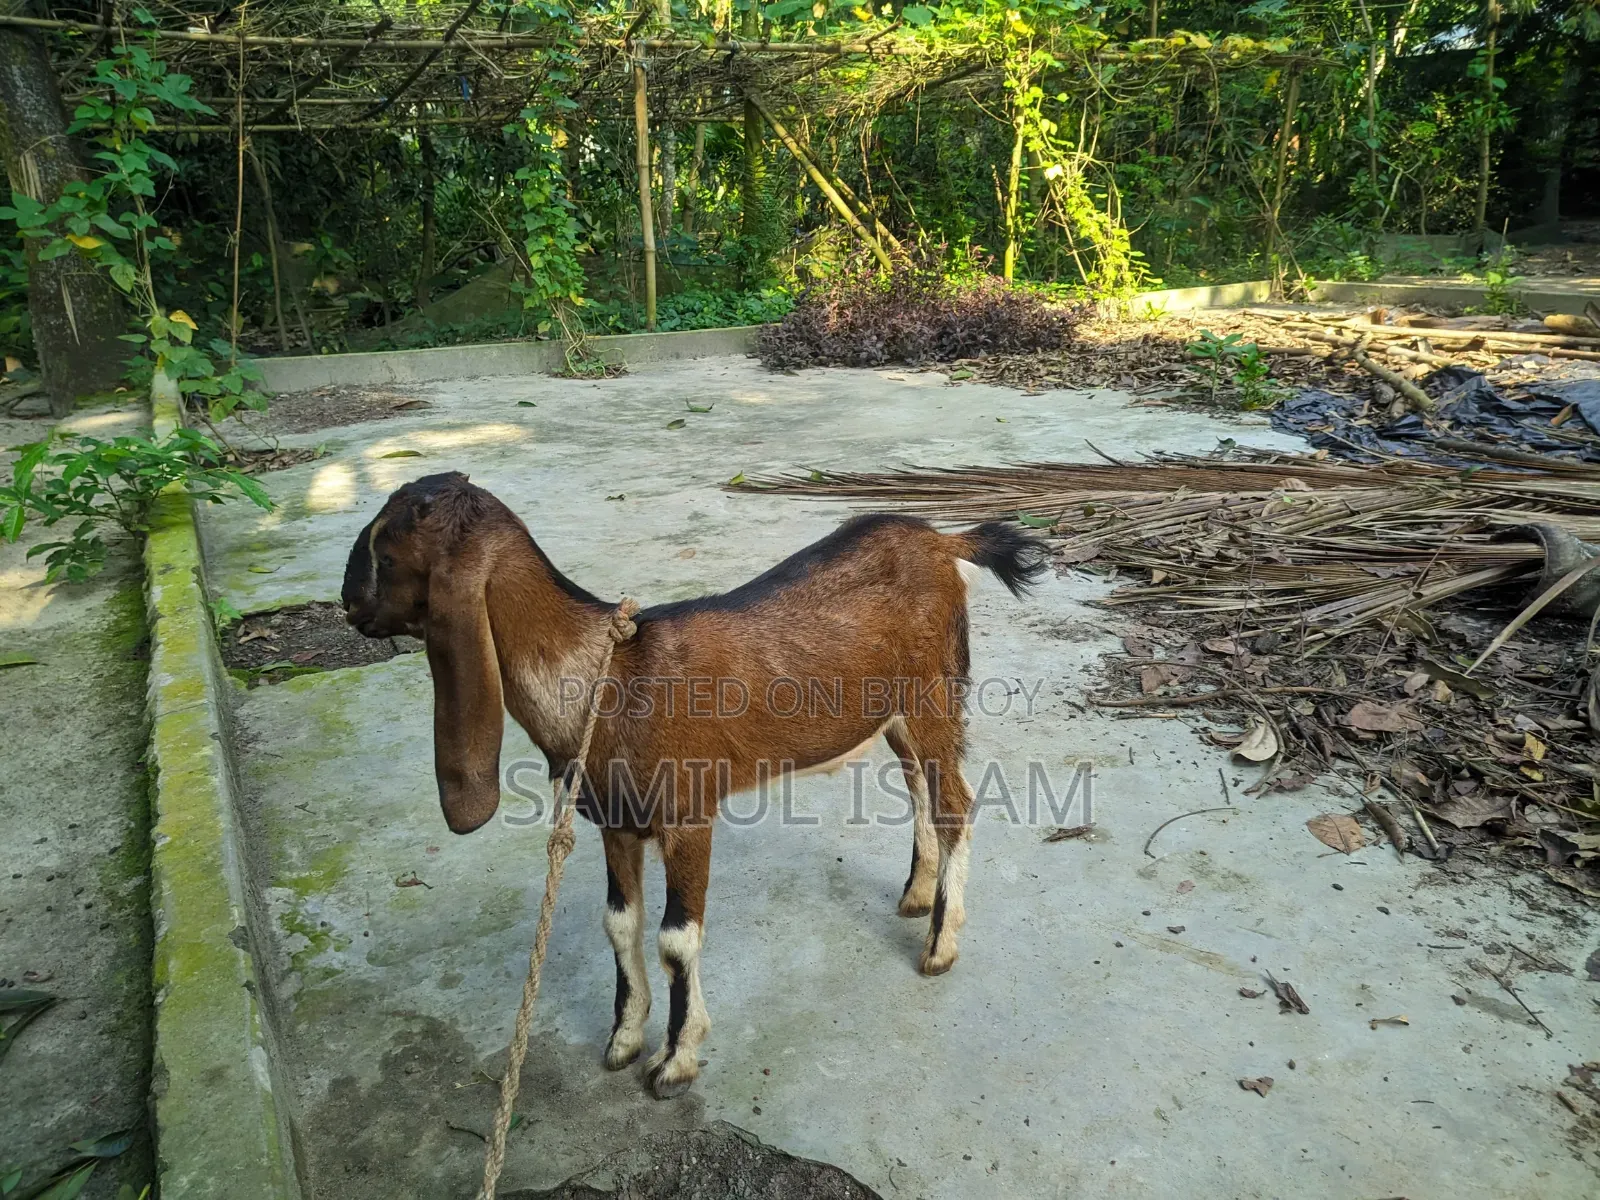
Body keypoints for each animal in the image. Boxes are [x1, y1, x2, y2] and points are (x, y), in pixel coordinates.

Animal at [342, 472, 1045, 1098]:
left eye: (387, 551)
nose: (349, 605)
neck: (607, 678)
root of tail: (945, 543)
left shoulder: (688, 816)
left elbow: (675, 940)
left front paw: (676, 1061)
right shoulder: (616, 821)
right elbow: (619, 923)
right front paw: (624, 1040)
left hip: (935, 694)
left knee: (955, 804)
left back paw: (940, 946)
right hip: (898, 713)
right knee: (920, 787)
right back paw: (917, 895)